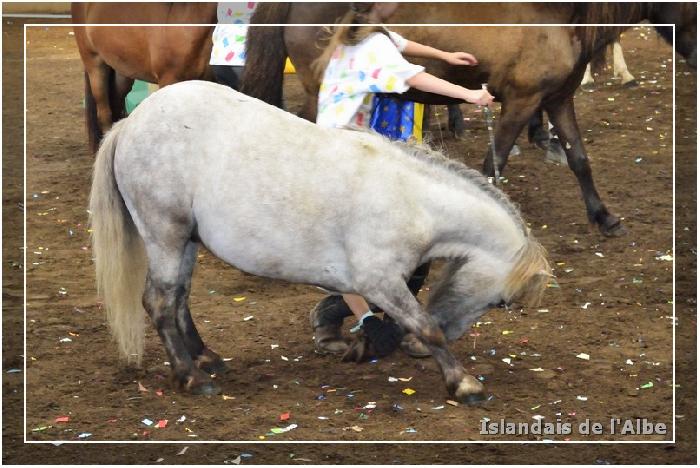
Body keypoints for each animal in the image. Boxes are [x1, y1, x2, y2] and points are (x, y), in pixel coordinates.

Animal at [241, 1, 696, 238]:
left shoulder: (557, 101)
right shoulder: (522, 102)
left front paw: (604, 217)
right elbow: (493, 163)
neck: (559, 16)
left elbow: (580, 160)